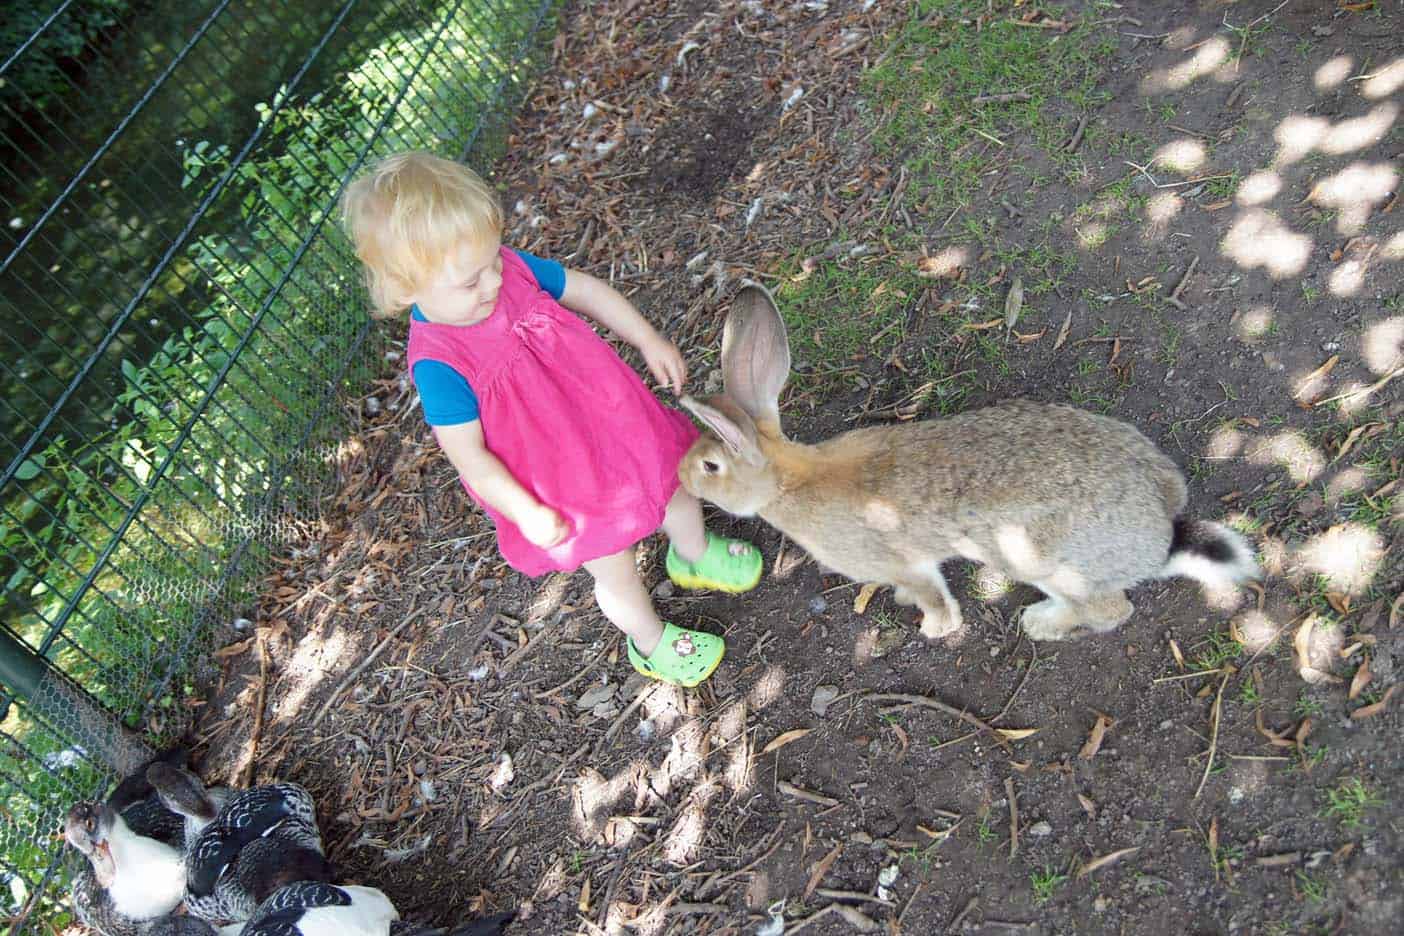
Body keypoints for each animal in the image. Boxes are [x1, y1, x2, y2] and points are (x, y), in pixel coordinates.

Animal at [673, 282, 1257, 639]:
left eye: (710, 467)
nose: (679, 476)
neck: (787, 482)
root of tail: (1162, 537)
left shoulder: (899, 562)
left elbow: (931, 593)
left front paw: (936, 628)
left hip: (1039, 559)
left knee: (1111, 610)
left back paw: (1041, 623)